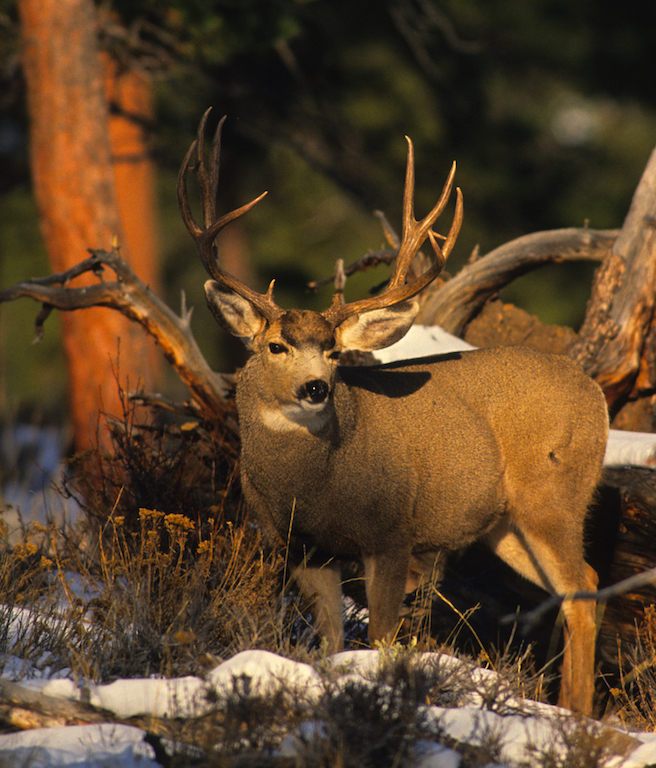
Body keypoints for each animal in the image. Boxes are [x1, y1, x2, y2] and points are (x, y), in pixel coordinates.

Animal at [177, 109, 608, 712]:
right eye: (275, 346)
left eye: (334, 351)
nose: (316, 387)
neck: (314, 487)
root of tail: (596, 392)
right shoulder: (305, 550)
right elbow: (330, 643)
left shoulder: (392, 533)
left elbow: (381, 637)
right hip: (503, 524)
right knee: (579, 584)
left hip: (554, 493)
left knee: (584, 589)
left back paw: (576, 714)